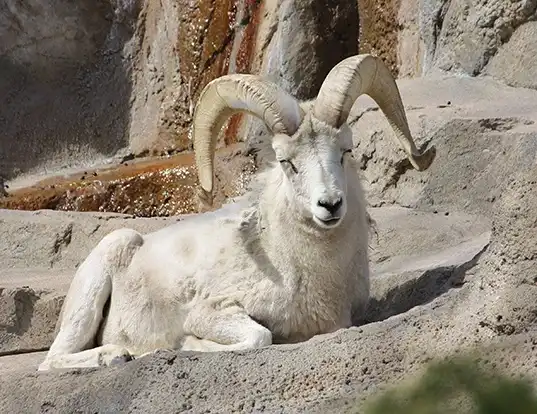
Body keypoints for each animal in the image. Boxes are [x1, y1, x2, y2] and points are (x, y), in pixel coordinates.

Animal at [38, 53, 436, 370]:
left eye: (346, 151)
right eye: (287, 162)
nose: (330, 205)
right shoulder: (212, 312)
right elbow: (259, 337)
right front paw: (184, 344)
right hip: (96, 283)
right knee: (51, 360)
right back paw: (118, 354)